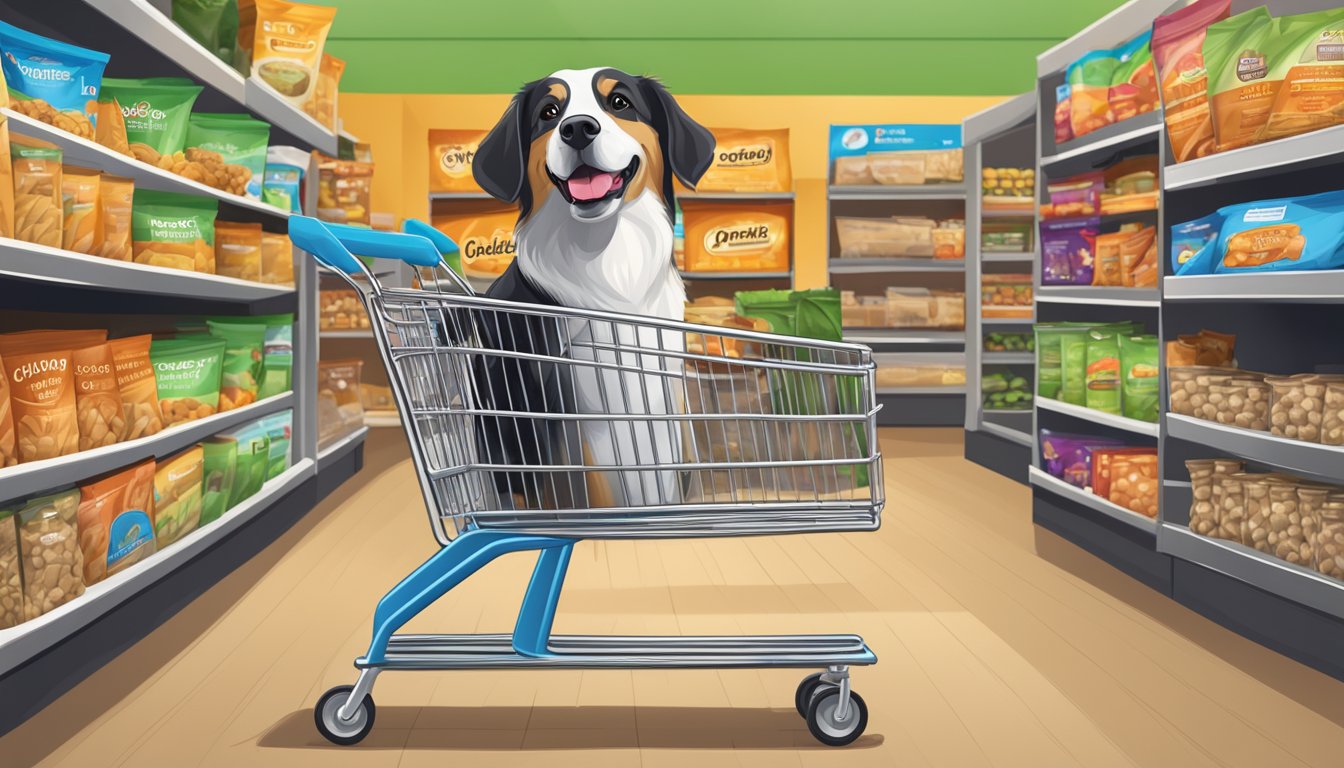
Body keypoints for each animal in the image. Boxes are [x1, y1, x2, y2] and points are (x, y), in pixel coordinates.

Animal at [467, 67, 720, 516]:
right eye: (549, 112)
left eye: (619, 102)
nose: (578, 129)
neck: (607, 255)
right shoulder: (559, 419)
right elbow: (583, 488)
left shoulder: (662, 402)